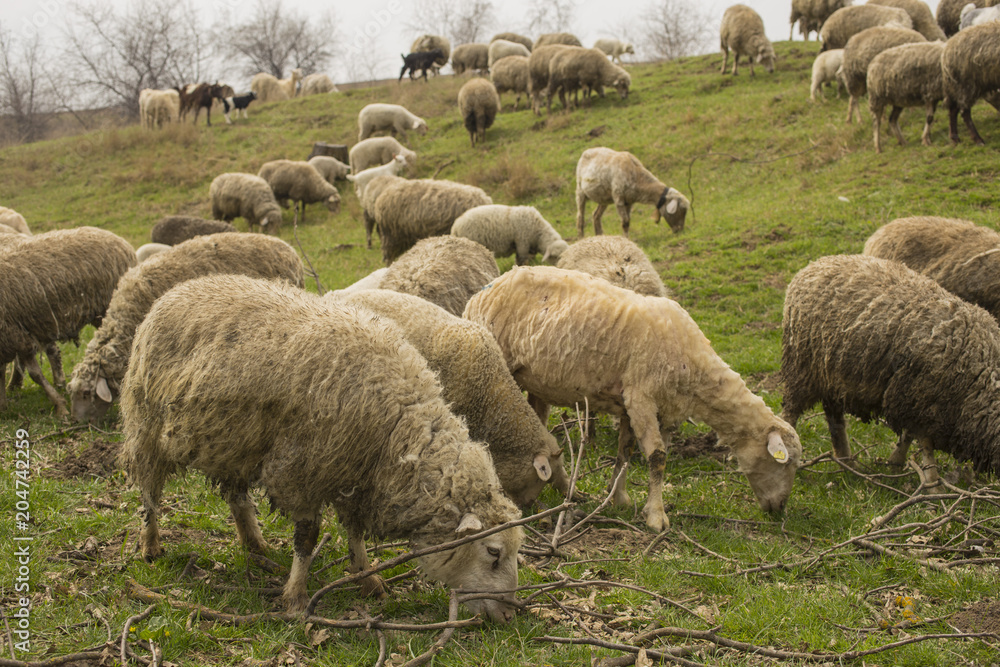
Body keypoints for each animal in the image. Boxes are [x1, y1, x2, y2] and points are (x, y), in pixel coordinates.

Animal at [120, 274, 523, 619]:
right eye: (493, 552)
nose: (507, 616)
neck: (396, 423)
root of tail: (178, 289)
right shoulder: (303, 471)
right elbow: (307, 538)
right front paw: (297, 597)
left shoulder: (356, 479)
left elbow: (356, 533)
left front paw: (368, 580)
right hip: (145, 424)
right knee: (149, 492)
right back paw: (151, 546)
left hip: (235, 441)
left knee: (236, 497)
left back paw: (254, 544)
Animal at [465, 266, 803, 532]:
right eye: (784, 464)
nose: (780, 508)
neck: (695, 367)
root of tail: (482, 291)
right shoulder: (641, 396)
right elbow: (657, 457)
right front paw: (656, 517)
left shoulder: (639, 406)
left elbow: (624, 452)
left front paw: (619, 498)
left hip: (535, 380)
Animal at [781, 254, 1000, 484]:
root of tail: (815, 264)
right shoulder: (920, 399)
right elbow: (925, 446)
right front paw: (932, 483)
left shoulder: (911, 400)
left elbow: (908, 436)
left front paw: (895, 463)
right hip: (802, 368)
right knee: (790, 413)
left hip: (832, 377)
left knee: (835, 421)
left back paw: (847, 463)